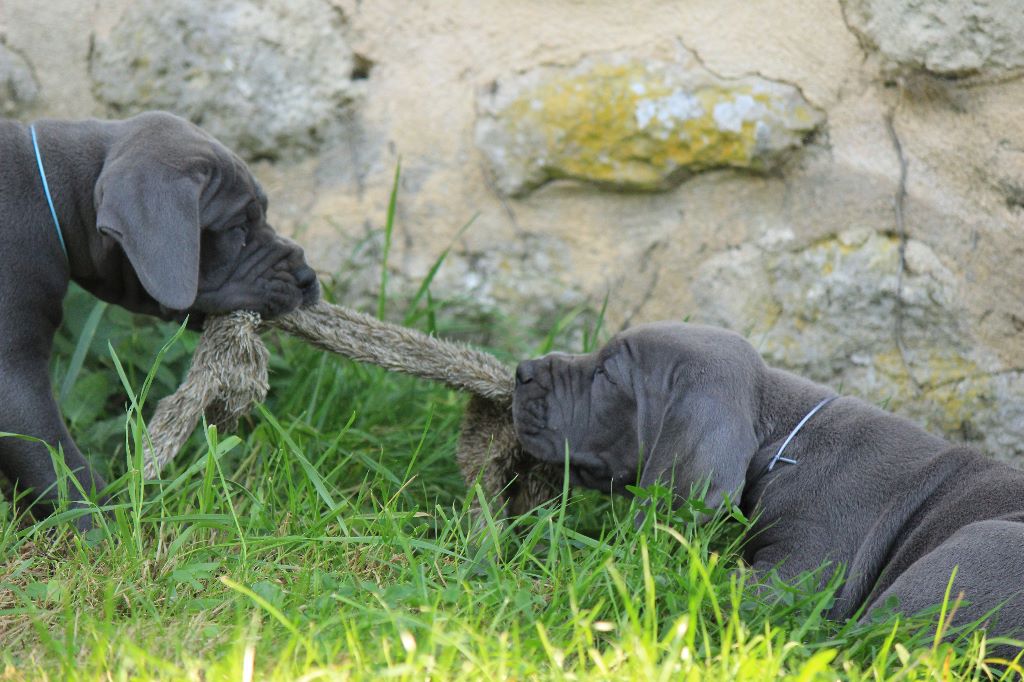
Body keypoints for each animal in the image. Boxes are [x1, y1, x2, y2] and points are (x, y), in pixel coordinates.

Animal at [0, 111, 317, 522]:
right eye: (238, 230)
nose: (309, 277)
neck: (48, 194)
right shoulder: (11, 375)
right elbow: (55, 459)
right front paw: (105, 523)